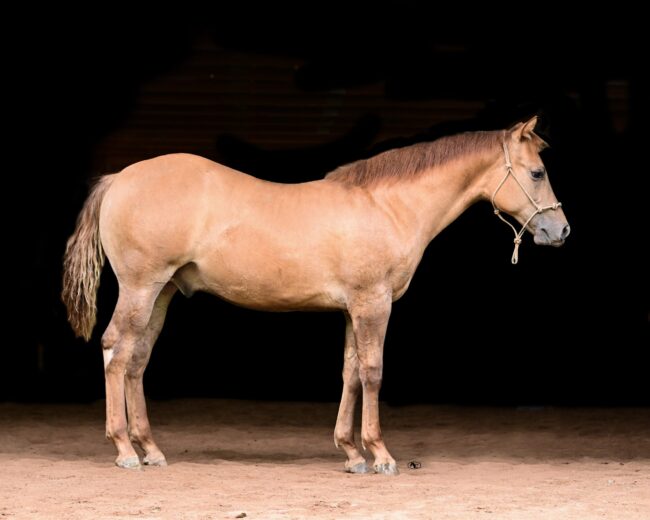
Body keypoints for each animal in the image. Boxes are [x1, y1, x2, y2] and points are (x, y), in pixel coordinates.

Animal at [62, 116, 569, 475]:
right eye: (537, 172)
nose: (560, 230)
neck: (387, 206)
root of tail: (120, 178)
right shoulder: (373, 305)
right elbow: (372, 373)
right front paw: (380, 455)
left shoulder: (352, 310)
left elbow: (350, 373)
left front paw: (352, 453)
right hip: (141, 288)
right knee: (116, 352)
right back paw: (125, 449)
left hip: (162, 293)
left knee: (137, 359)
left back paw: (150, 448)